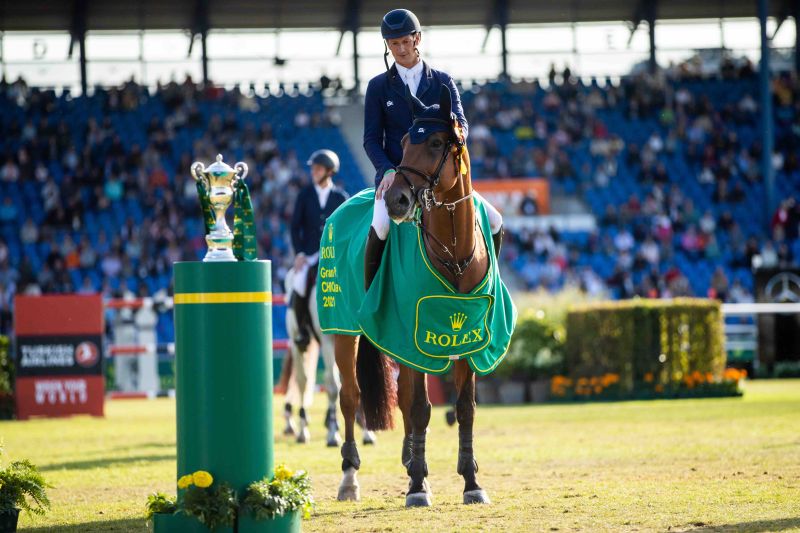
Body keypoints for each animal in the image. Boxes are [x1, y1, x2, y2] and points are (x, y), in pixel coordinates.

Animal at [328, 84, 504, 508]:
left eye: (437, 142)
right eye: (406, 142)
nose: (396, 201)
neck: (454, 253)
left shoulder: (467, 337)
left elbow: (464, 409)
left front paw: (471, 482)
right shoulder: (417, 334)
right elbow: (422, 408)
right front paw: (419, 487)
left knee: (403, 396)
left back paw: (409, 459)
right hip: (343, 331)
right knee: (350, 396)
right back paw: (350, 478)